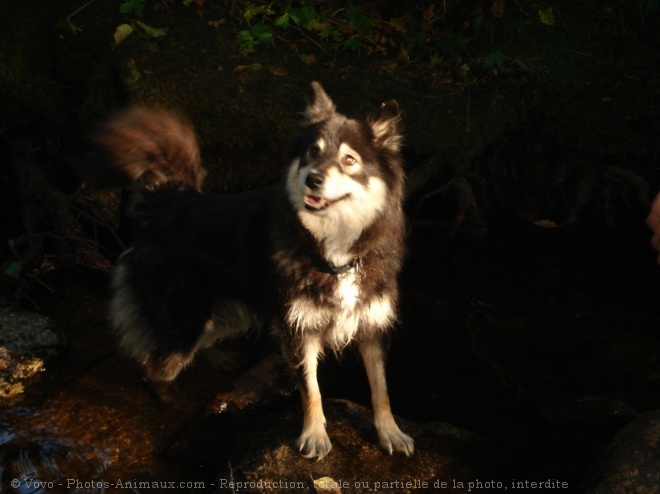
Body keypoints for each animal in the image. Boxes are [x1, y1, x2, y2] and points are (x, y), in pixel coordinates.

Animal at [91, 81, 412, 460]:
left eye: (349, 160)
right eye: (312, 152)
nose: (313, 178)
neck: (334, 253)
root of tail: (169, 203)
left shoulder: (372, 325)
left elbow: (381, 387)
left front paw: (390, 432)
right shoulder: (297, 331)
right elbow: (311, 389)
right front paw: (314, 435)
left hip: (221, 313)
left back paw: (218, 358)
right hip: (183, 322)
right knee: (149, 367)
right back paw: (168, 399)